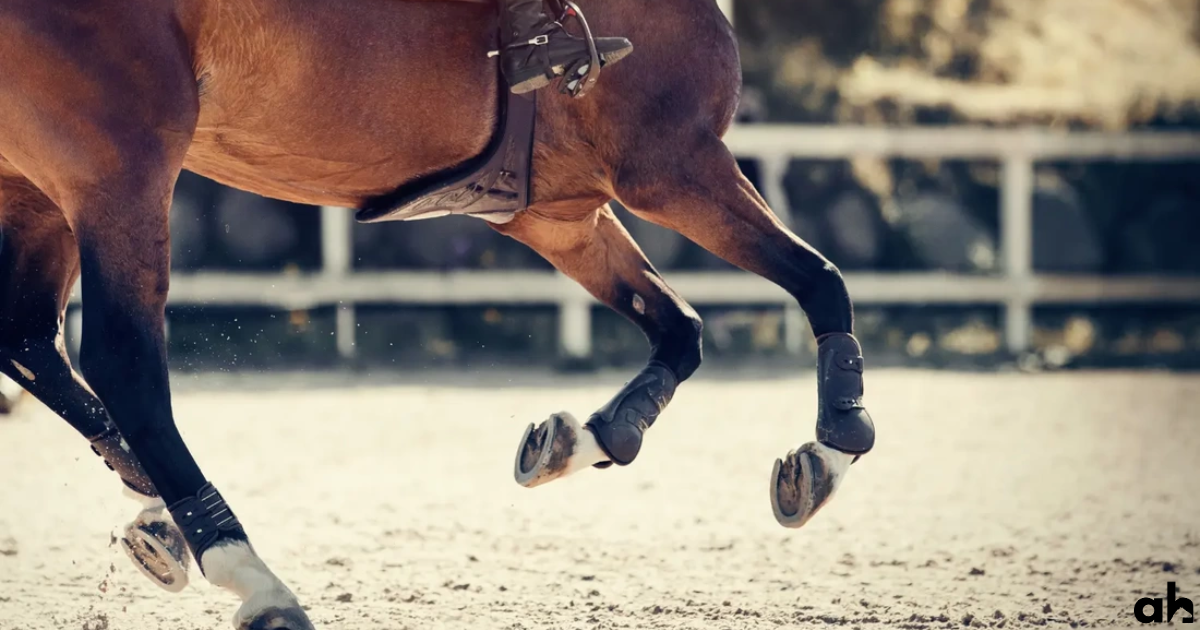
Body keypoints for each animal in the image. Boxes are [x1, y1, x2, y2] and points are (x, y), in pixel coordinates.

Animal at [0, 0, 876, 627]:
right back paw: (250, 573)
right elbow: (822, 282)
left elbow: (680, 327)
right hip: (119, 163)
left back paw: (160, 512)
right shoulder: (674, 165)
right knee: (122, 359)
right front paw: (831, 450)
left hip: (42, 185)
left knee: (33, 340)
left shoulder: (557, 213)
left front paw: (585, 438)